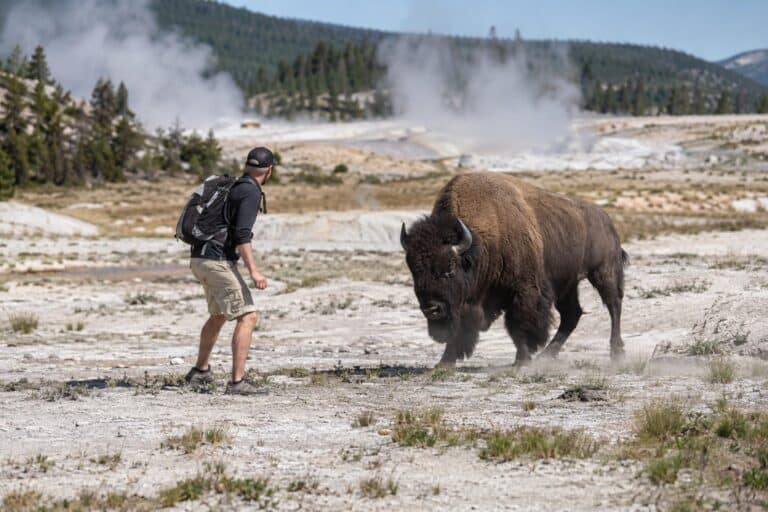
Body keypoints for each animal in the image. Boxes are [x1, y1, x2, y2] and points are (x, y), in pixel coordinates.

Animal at [400, 172, 628, 367]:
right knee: (572, 315)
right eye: (414, 272)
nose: (431, 309)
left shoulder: (524, 290)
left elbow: (519, 325)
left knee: (613, 305)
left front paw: (521, 361)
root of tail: (606, 219)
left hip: (602, 272)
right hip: (567, 283)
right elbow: (460, 328)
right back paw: (546, 356)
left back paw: (617, 353)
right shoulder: (465, 302)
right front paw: (444, 362)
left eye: (449, 269)